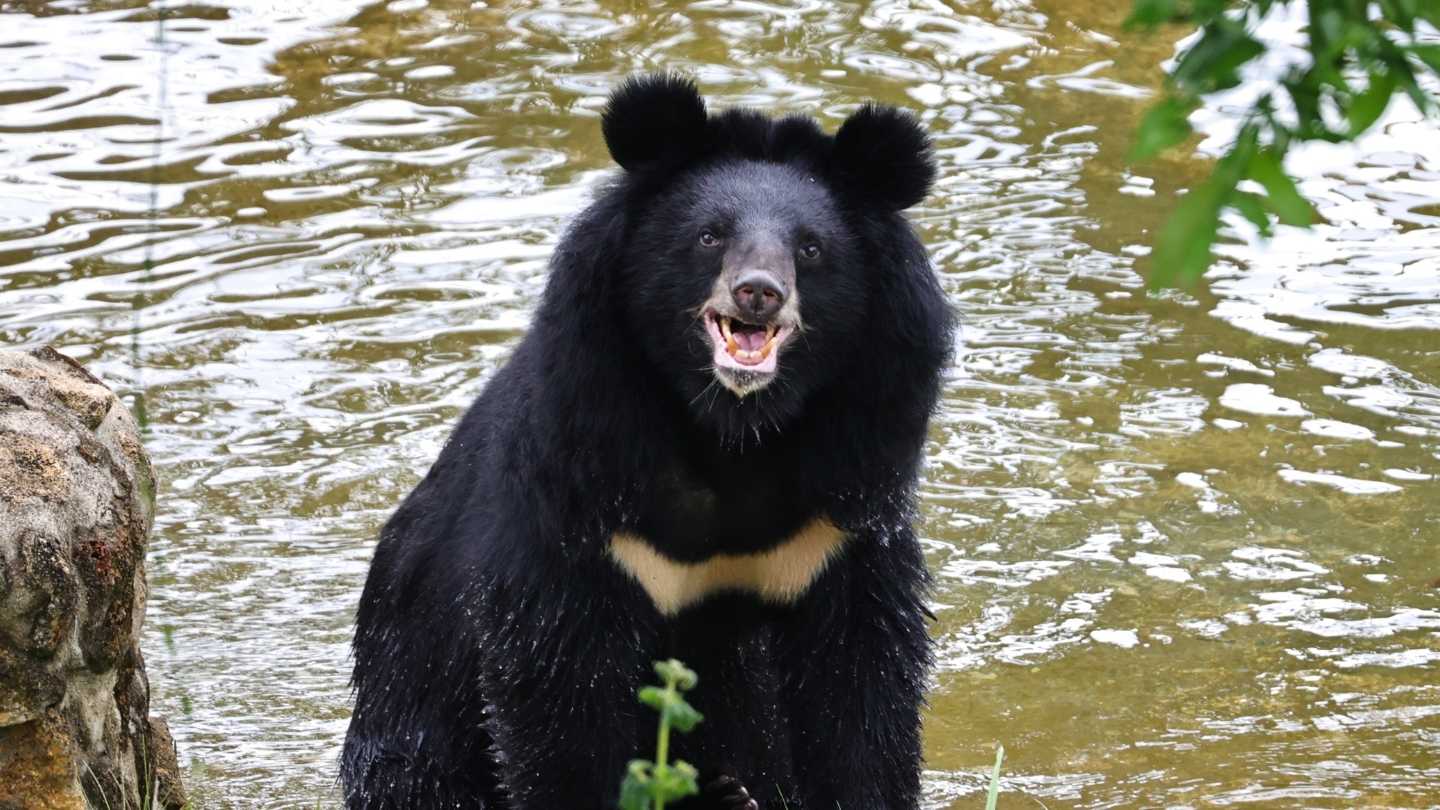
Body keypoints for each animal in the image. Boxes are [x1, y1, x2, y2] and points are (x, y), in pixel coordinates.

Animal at [340, 73, 953, 810]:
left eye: (810, 248)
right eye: (709, 236)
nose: (758, 294)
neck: (732, 431)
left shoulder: (841, 507)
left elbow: (860, 692)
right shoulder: (587, 493)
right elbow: (561, 697)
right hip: (414, 718)